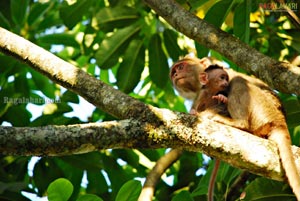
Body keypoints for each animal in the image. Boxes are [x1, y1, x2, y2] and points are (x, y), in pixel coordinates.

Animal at [171, 56, 300, 201]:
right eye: (173, 71)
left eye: (181, 67)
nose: (175, 75)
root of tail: (280, 121)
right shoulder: (200, 95)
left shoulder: (227, 76)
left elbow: (225, 97)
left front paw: (210, 109)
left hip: (264, 111)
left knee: (239, 81)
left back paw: (238, 123)